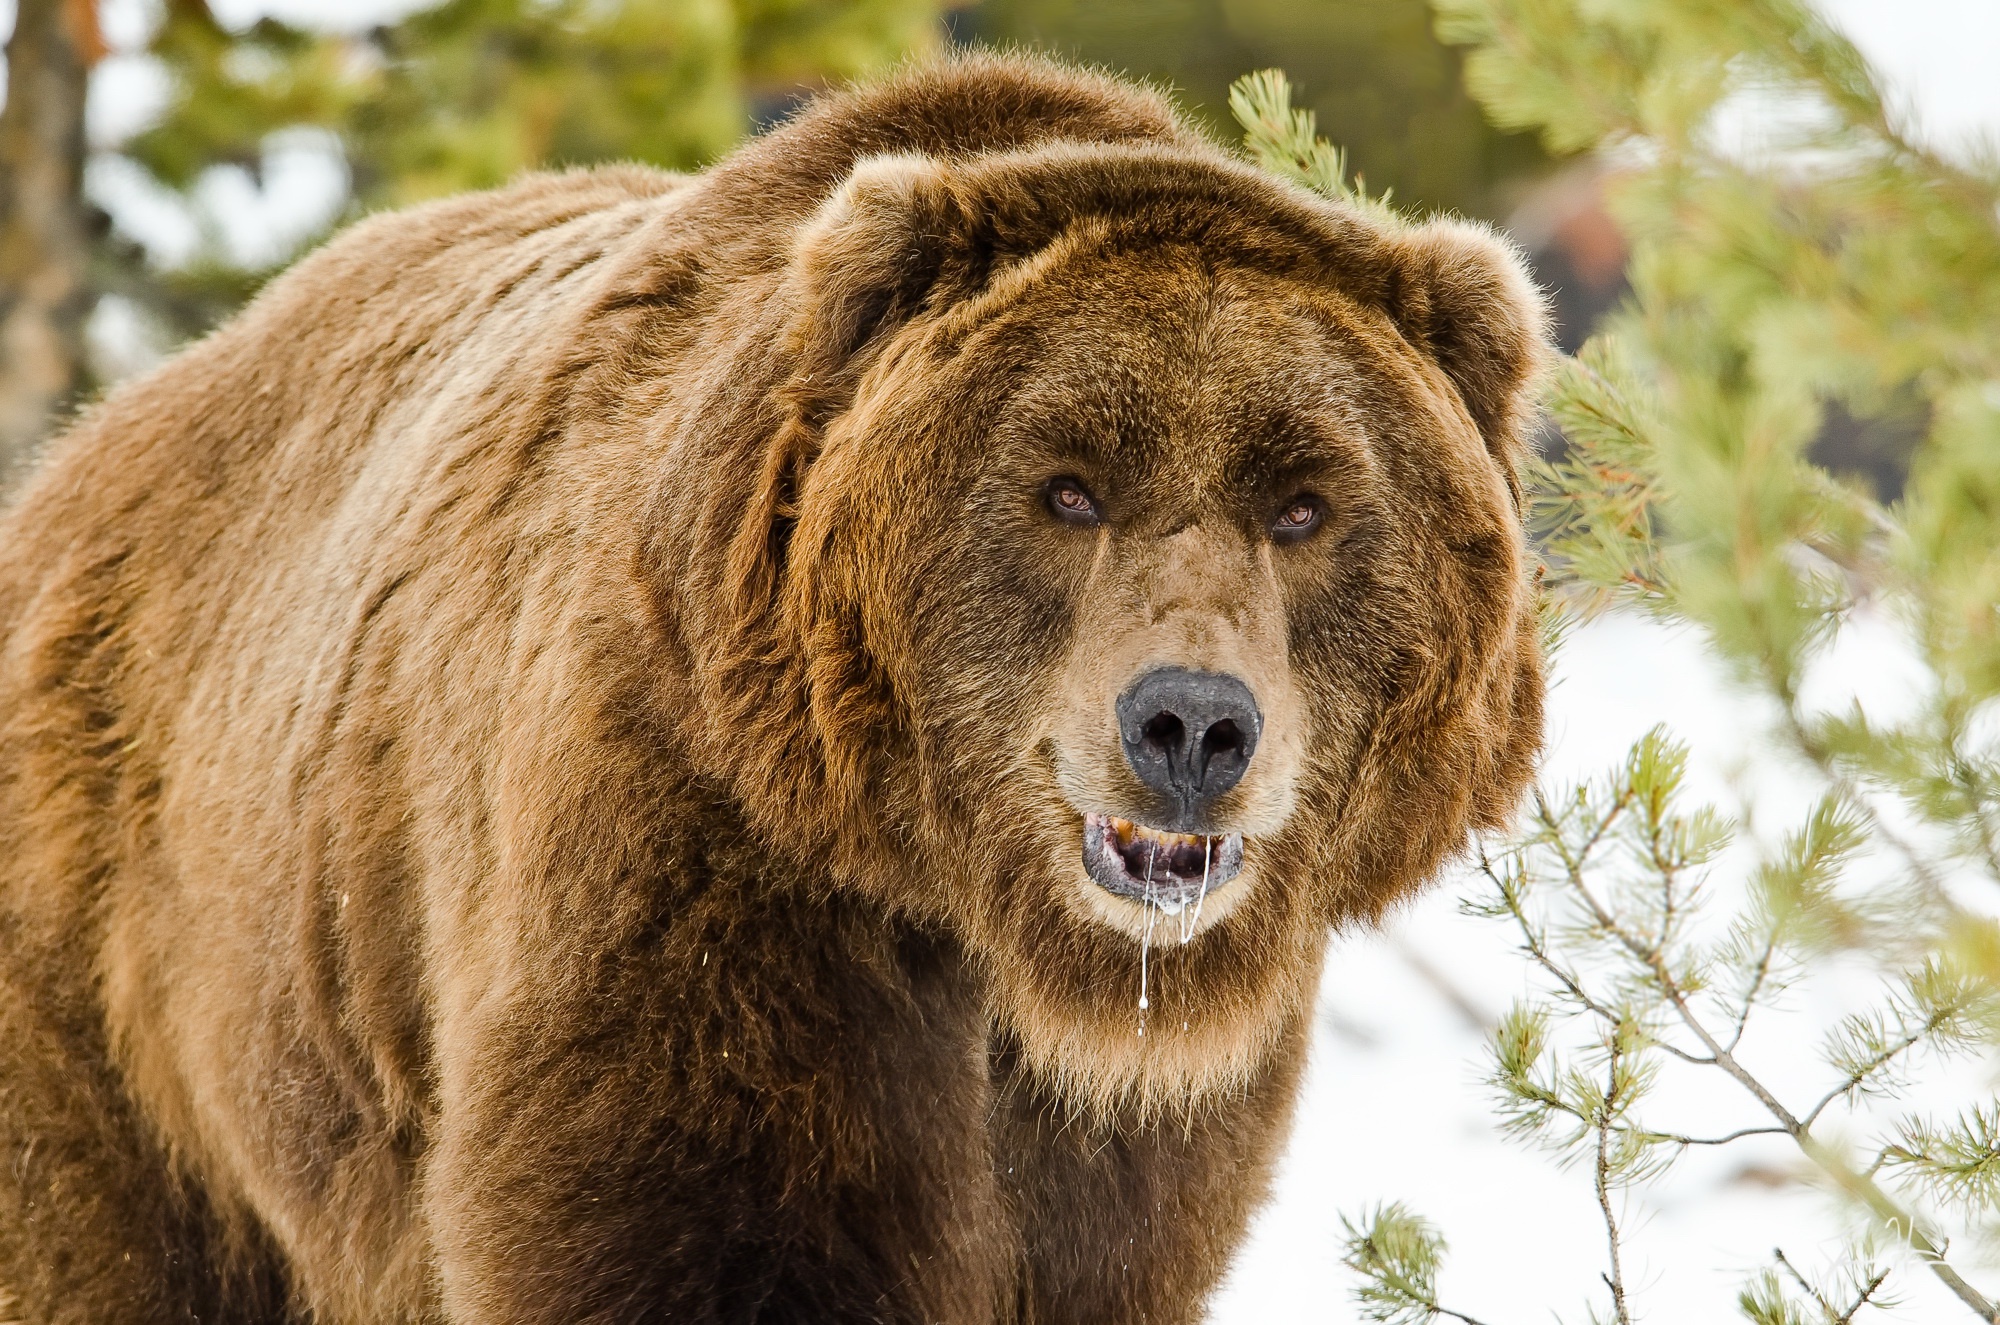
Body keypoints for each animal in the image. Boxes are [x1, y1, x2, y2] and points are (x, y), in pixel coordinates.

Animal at [0, 52, 1544, 1325]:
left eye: (1303, 503)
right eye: (1066, 485)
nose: (1191, 726)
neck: (975, 913)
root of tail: (89, 447)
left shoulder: (1133, 1150)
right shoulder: (702, 892)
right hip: (128, 991)